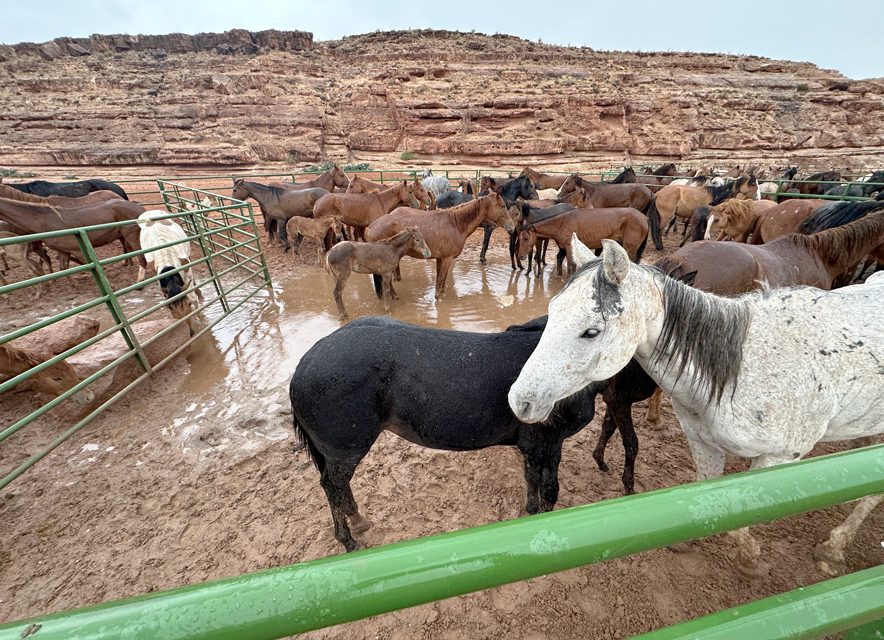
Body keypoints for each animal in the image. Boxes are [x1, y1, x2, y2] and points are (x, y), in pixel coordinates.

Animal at [290, 315, 601, 551]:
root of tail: (304, 364)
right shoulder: (547, 443)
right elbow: (549, 490)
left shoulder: (533, 447)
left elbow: (532, 480)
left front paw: (530, 512)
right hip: (346, 449)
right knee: (332, 486)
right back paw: (349, 541)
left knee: (339, 486)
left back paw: (357, 520)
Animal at [364, 193, 515, 298]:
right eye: (503, 206)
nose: (512, 227)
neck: (455, 224)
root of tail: (371, 226)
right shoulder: (447, 258)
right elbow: (442, 277)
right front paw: (438, 297)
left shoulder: (440, 258)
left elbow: (440, 278)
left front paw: (441, 294)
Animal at [509, 237, 884, 577]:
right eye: (551, 312)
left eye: (591, 331)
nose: (519, 400)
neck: (736, 371)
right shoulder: (703, 443)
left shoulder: (780, 457)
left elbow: (745, 506)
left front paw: (750, 558)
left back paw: (834, 549)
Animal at [516, 207, 649, 277]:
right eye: (519, 238)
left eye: (526, 238)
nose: (521, 256)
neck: (561, 223)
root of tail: (644, 217)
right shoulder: (563, 247)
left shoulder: (569, 247)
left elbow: (571, 265)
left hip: (630, 248)